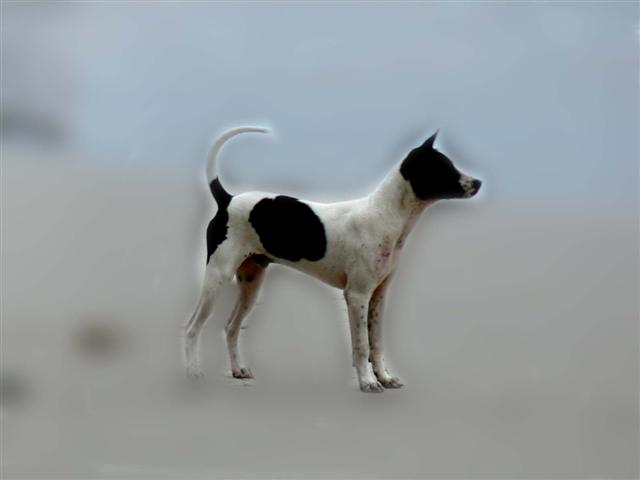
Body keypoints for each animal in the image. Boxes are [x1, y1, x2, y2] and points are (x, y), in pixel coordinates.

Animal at [184, 127, 481, 392]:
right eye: (444, 168)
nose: (478, 183)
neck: (385, 216)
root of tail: (227, 200)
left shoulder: (379, 295)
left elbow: (377, 343)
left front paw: (384, 377)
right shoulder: (357, 295)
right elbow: (362, 345)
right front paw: (368, 382)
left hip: (251, 283)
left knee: (231, 327)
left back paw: (238, 370)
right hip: (217, 278)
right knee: (191, 328)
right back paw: (193, 372)